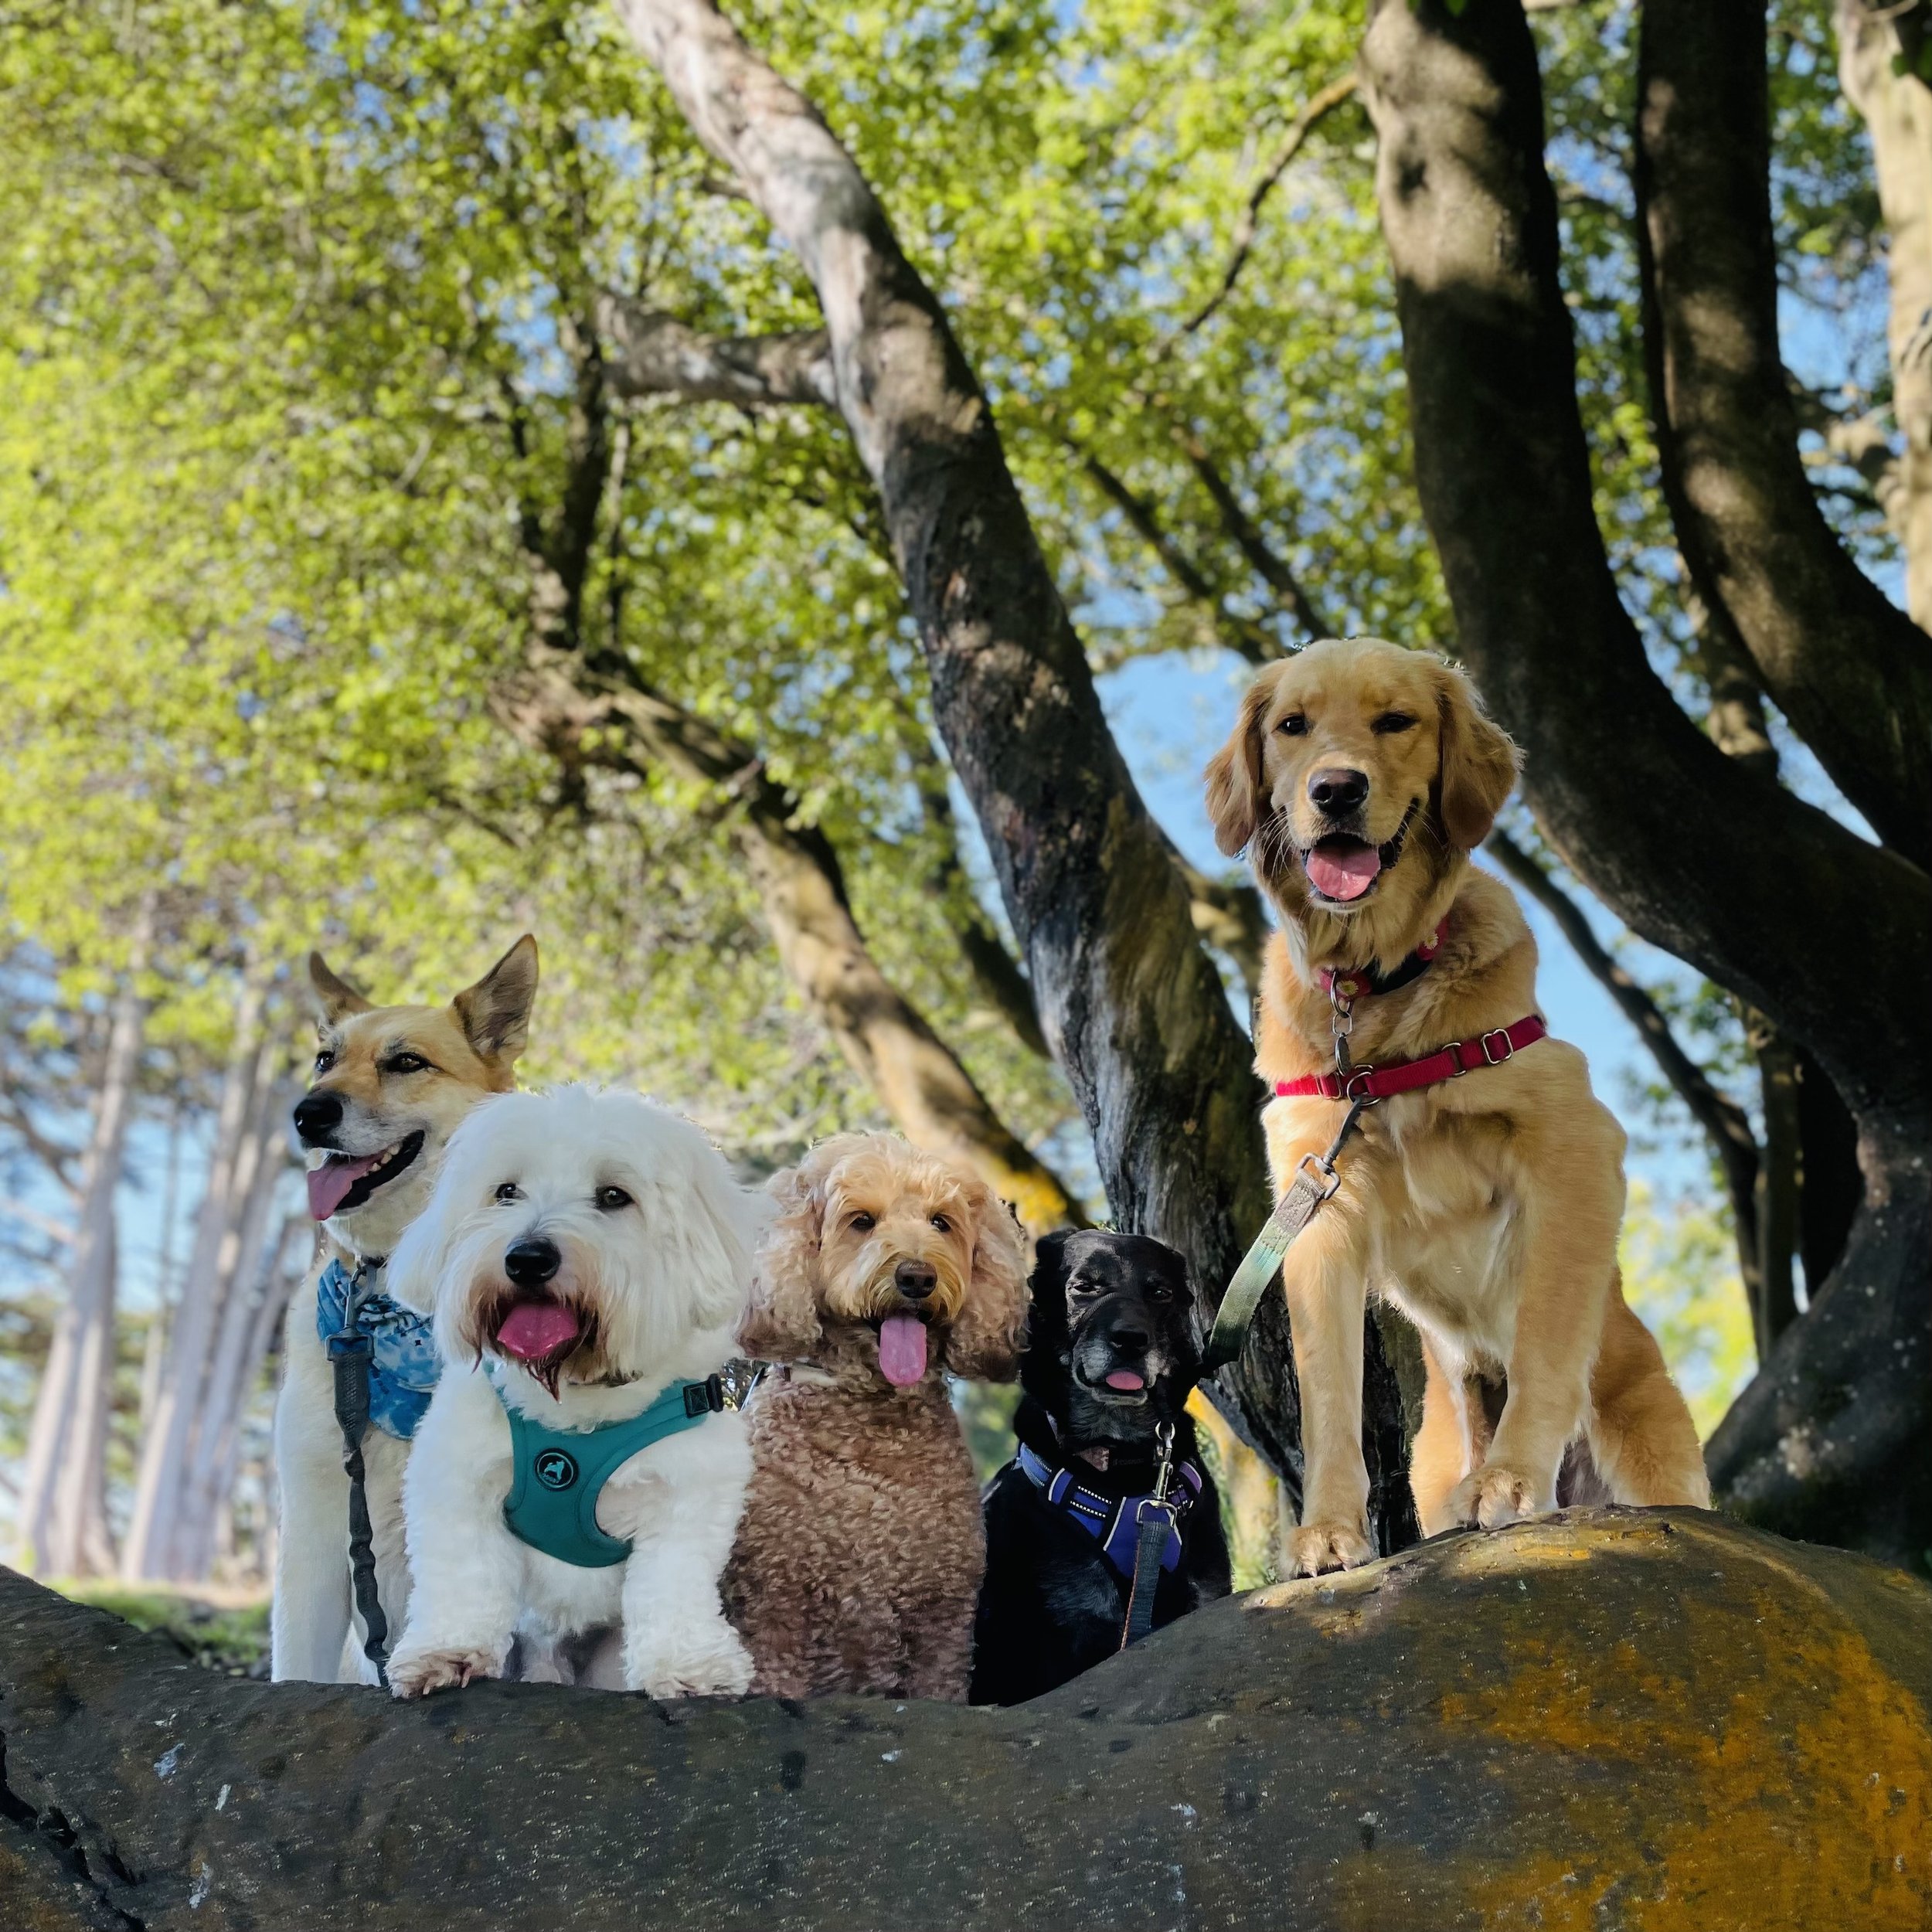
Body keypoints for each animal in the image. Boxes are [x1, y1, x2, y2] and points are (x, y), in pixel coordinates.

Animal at [383, 1085, 766, 1700]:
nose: (527, 1258)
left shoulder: (688, 1493)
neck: (575, 1397)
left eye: (613, 1196)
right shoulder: (457, 1479)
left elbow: (674, 1582)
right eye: (506, 1191)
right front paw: (446, 1651)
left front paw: (688, 1667)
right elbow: (462, 1571)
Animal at [973, 1230, 1231, 1705]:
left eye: (1160, 1293)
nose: (1130, 1339)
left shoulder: (1203, 1599)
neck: (1121, 1459)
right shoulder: (1074, 1628)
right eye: (1085, 1287)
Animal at [1203, 637, 1709, 1576]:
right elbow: (1327, 1392)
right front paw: (1327, 1530)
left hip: (1657, 1447)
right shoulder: (1319, 1202)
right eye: (1292, 726)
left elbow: (1547, 1326)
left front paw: (1511, 1476)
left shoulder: (1573, 1141)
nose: (1336, 789)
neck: (1376, 988)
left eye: (1395, 721)